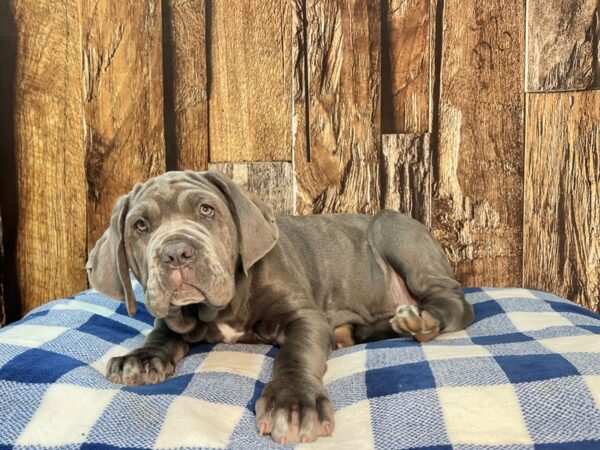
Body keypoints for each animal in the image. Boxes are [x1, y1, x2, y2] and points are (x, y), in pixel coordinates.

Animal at [88, 171, 474, 444]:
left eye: (206, 210)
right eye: (140, 226)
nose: (175, 252)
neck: (220, 308)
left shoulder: (304, 315)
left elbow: (296, 353)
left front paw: (294, 404)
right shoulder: (173, 318)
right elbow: (161, 333)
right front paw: (140, 358)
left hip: (392, 228)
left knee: (454, 302)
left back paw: (422, 321)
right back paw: (355, 330)